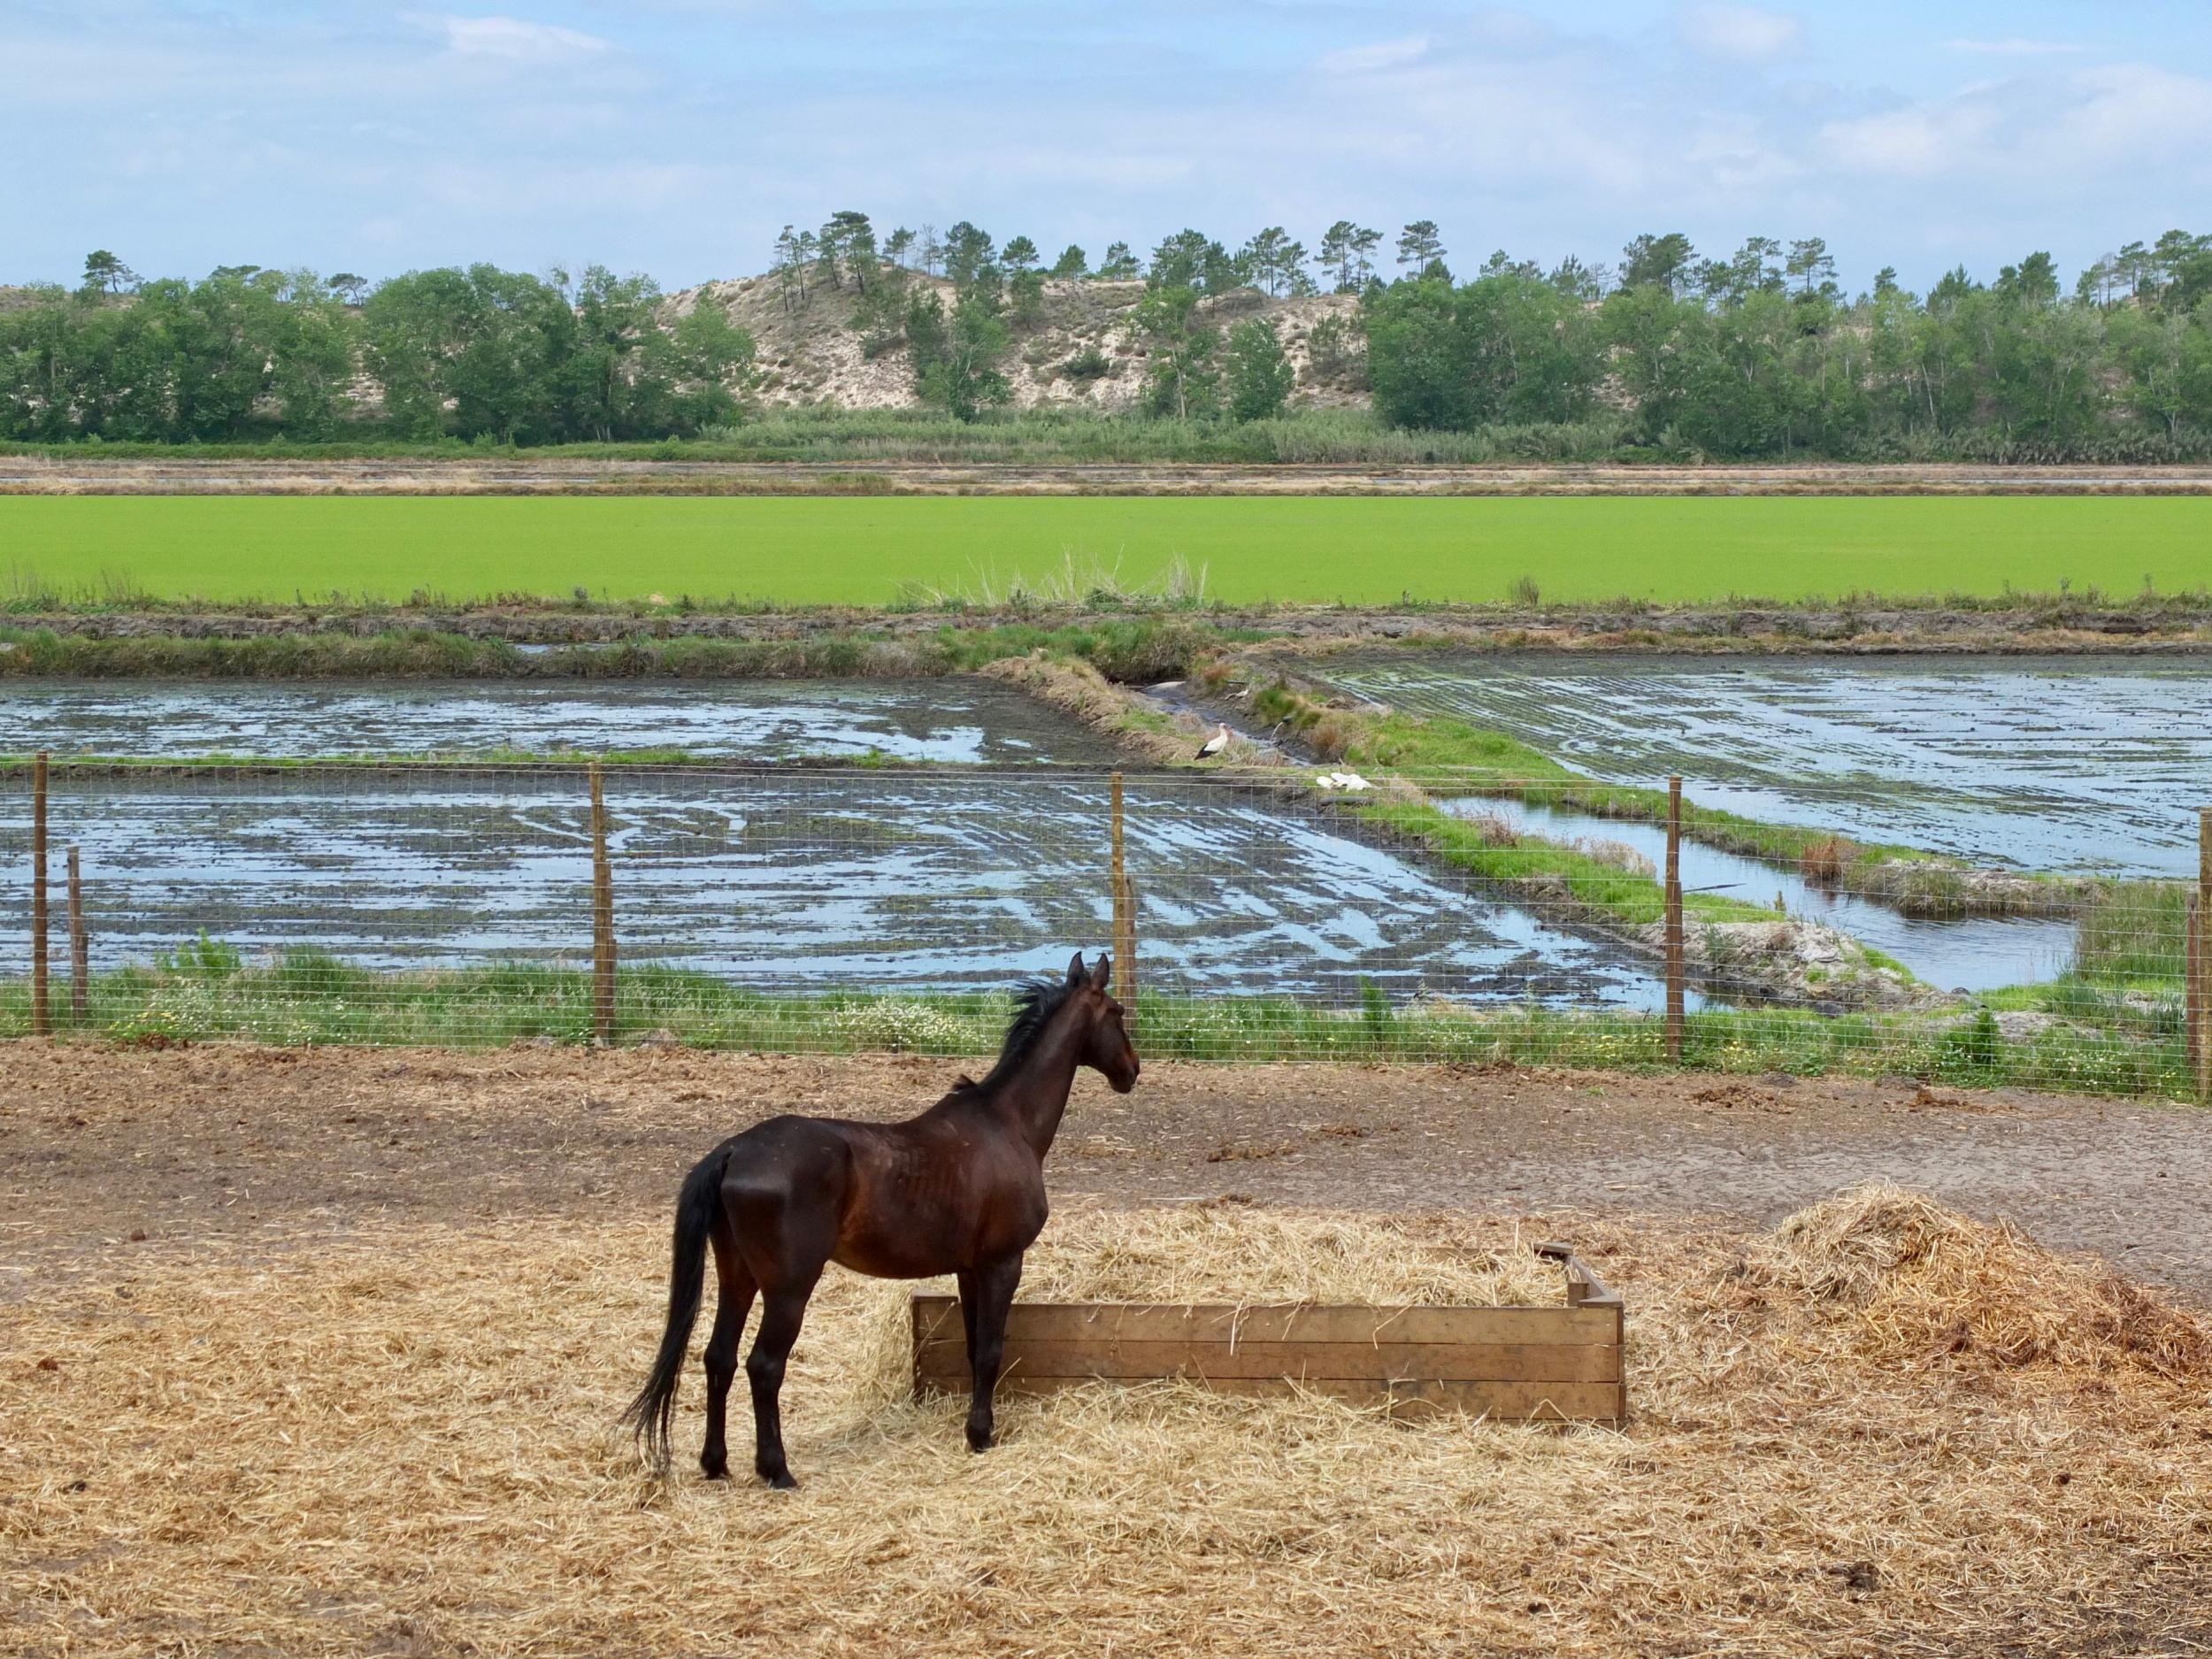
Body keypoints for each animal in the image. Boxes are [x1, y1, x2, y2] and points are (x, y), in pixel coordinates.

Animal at [624, 956, 1141, 1486]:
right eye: (1117, 1012)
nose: (1132, 1069)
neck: (1006, 1124)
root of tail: (734, 1150)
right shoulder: (1003, 1264)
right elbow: (992, 1350)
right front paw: (981, 1435)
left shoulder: (970, 1270)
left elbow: (974, 1349)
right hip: (788, 1289)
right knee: (764, 1366)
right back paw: (777, 1470)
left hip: (737, 1278)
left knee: (718, 1358)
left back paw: (716, 1463)